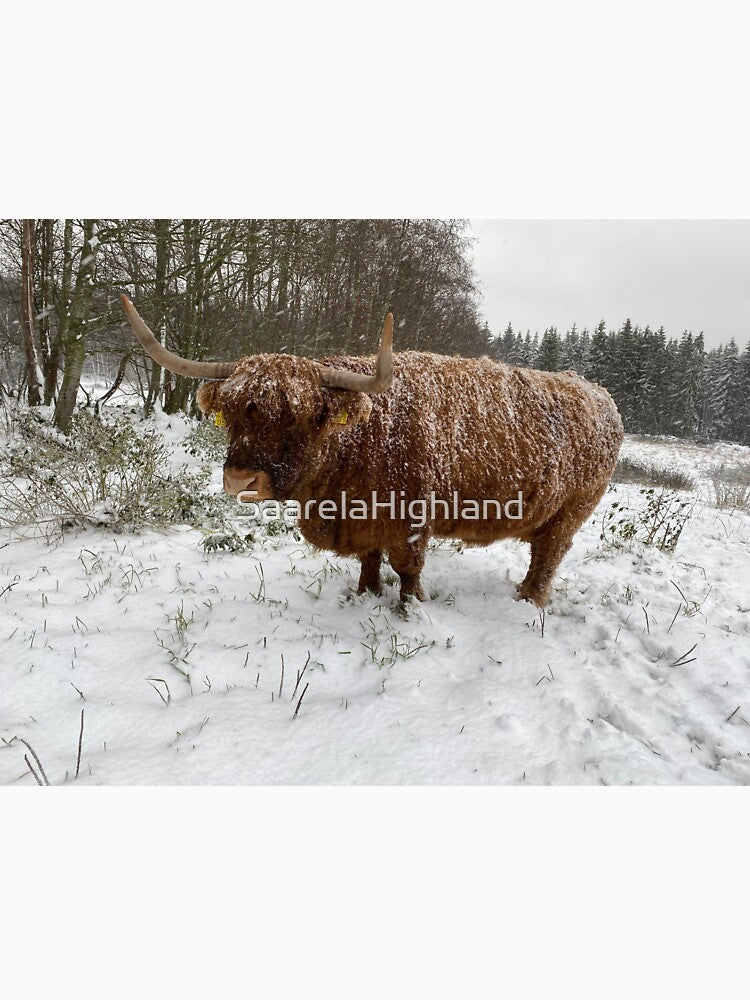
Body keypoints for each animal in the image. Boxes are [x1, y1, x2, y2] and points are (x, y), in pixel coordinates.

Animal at [120, 295, 624, 607]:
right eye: (232, 414)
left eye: (302, 416)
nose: (241, 480)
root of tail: (600, 395)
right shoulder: (363, 518)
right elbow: (370, 560)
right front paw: (364, 595)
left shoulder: (410, 519)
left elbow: (408, 569)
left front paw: (411, 609)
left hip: (571, 511)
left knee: (548, 556)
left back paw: (528, 600)